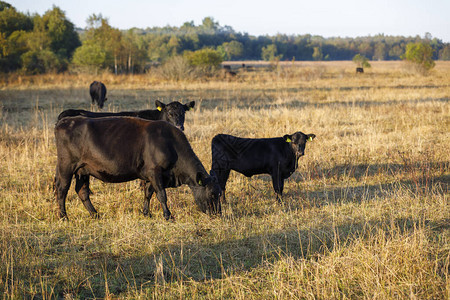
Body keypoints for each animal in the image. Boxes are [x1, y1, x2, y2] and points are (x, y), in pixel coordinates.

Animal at [54, 116, 221, 219]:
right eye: (213, 194)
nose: (218, 214)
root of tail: (66, 120)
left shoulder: (148, 175)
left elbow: (148, 194)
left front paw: (146, 213)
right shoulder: (155, 172)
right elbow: (162, 195)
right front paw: (168, 215)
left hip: (83, 170)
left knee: (82, 191)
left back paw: (95, 214)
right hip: (66, 167)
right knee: (62, 190)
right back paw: (64, 216)